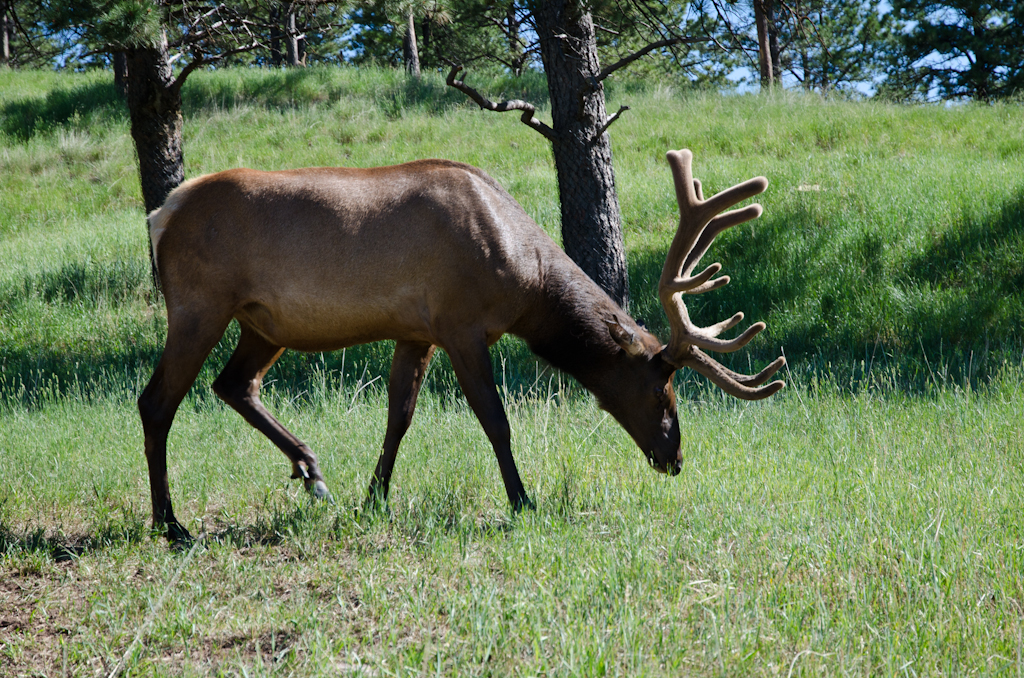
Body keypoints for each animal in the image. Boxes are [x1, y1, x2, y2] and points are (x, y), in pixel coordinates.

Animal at [140, 147, 782, 540]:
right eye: (659, 388)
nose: (674, 457)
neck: (527, 281)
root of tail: (159, 214)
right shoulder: (461, 325)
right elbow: (494, 418)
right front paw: (523, 501)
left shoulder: (413, 330)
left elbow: (398, 416)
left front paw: (374, 498)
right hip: (199, 305)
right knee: (157, 401)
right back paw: (171, 525)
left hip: (262, 323)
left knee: (234, 383)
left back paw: (312, 471)